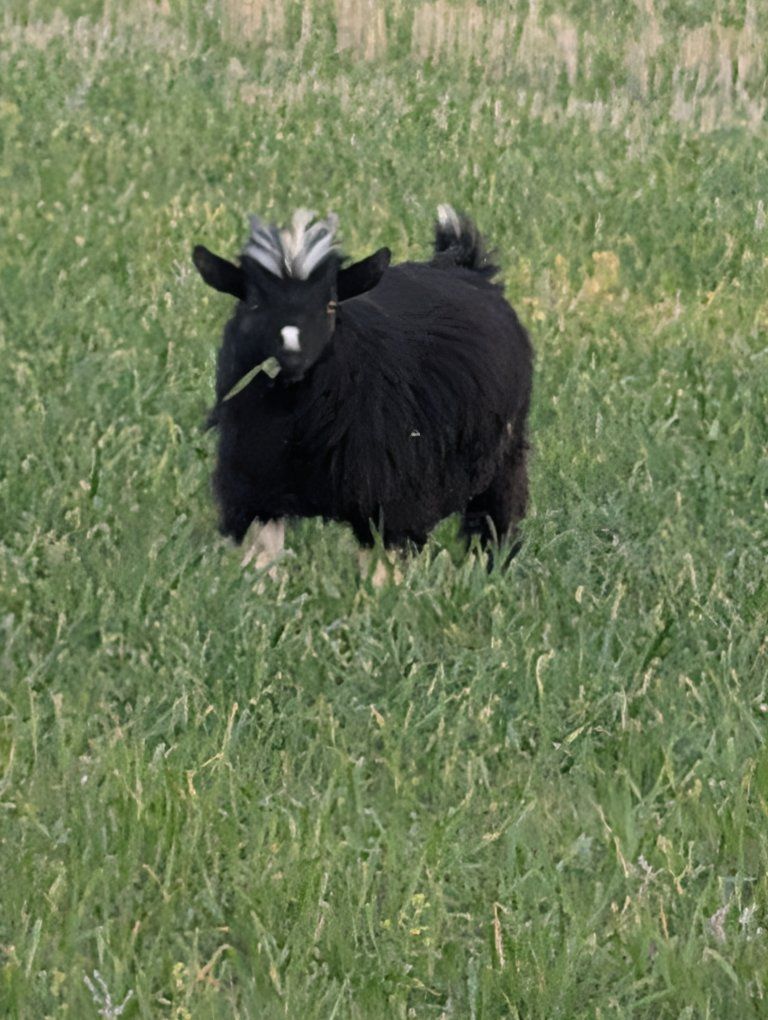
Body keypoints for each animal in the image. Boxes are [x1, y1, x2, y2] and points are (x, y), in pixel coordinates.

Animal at [192, 205, 533, 566]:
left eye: (330, 305)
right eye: (254, 303)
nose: (292, 356)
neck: (297, 426)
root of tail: (463, 265)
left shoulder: (390, 502)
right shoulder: (255, 492)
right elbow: (261, 562)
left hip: (504, 458)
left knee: (495, 520)